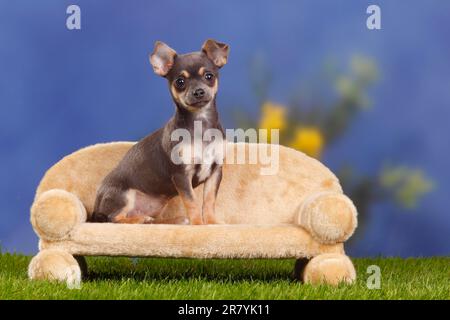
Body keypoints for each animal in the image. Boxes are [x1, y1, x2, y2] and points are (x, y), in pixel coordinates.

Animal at [92, 39, 230, 225]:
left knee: (155, 219)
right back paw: (141, 220)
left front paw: (211, 222)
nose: (199, 92)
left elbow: (209, 201)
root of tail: (96, 207)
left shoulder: (215, 172)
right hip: (124, 196)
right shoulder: (181, 175)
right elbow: (192, 202)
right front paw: (197, 224)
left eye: (209, 76)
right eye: (180, 82)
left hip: (156, 204)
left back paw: (172, 220)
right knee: (113, 219)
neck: (201, 122)